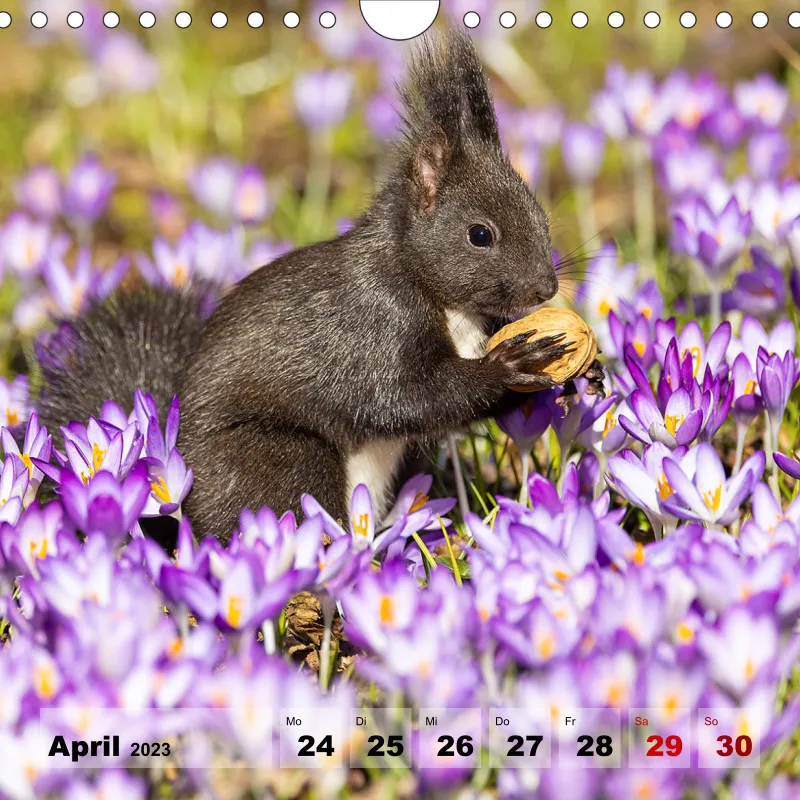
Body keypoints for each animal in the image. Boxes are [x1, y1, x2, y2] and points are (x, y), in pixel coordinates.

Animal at [35, 29, 604, 541]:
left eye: (540, 214)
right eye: (480, 234)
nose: (544, 288)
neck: (437, 295)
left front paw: (581, 376)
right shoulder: (373, 323)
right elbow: (403, 397)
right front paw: (509, 363)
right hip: (283, 461)